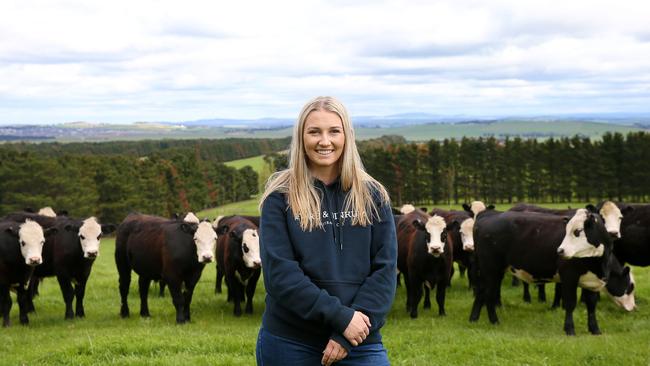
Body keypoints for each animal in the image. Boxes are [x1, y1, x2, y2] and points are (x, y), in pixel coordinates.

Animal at [468, 206, 632, 334]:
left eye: (577, 231)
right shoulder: (569, 278)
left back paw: (474, 319)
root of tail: (486, 217)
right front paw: (569, 329)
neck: (599, 262)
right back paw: (494, 321)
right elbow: (570, 303)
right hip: (491, 270)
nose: (560, 250)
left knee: (481, 291)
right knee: (489, 294)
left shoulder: (591, 281)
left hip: (487, 271)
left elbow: (591, 305)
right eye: (630, 287)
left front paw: (595, 329)